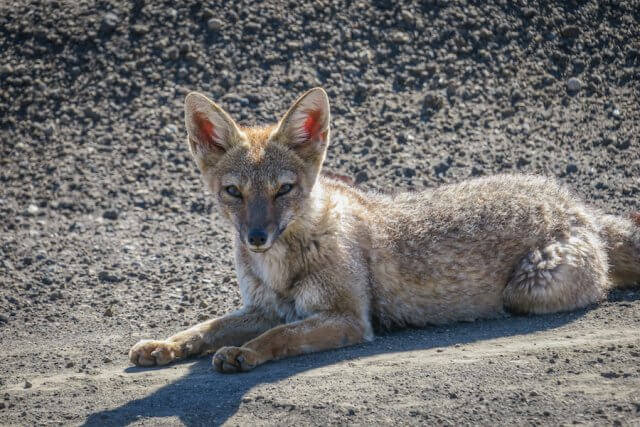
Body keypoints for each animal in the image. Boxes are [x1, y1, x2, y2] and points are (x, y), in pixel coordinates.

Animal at [129, 88, 640, 374]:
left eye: (283, 190)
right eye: (234, 192)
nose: (256, 237)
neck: (280, 264)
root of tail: (576, 202)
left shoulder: (347, 318)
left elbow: (279, 337)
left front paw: (245, 353)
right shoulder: (263, 308)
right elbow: (204, 327)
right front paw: (165, 344)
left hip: (526, 290)